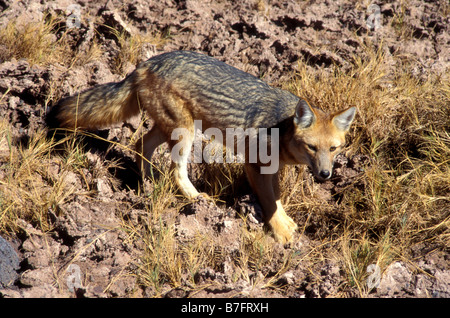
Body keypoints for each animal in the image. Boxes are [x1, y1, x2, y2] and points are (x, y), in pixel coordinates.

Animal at [47, 50, 356, 243]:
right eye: (312, 147)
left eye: (334, 150)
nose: (326, 175)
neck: (281, 128)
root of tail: (146, 64)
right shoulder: (255, 166)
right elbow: (269, 202)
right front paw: (281, 233)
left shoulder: (272, 170)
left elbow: (277, 199)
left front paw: (284, 222)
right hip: (185, 133)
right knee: (175, 170)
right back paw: (195, 198)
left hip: (171, 129)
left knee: (141, 144)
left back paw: (148, 183)